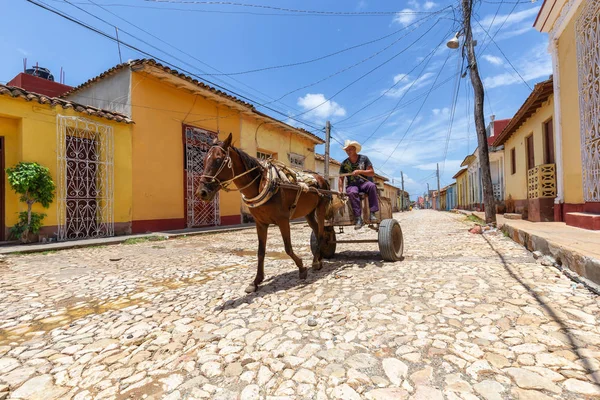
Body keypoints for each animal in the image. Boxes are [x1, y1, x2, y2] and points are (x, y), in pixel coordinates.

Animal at [197, 134, 330, 294]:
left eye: (218, 159)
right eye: (204, 159)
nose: (202, 192)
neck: (264, 184)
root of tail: (322, 179)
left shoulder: (283, 220)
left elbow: (288, 248)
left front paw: (302, 268)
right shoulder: (260, 223)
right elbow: (260, 251)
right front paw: (256, 281)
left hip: (320, 209)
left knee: (321, 233)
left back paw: (316, 261)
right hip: (308, 213)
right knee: (316, 231)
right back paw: (318, 259)